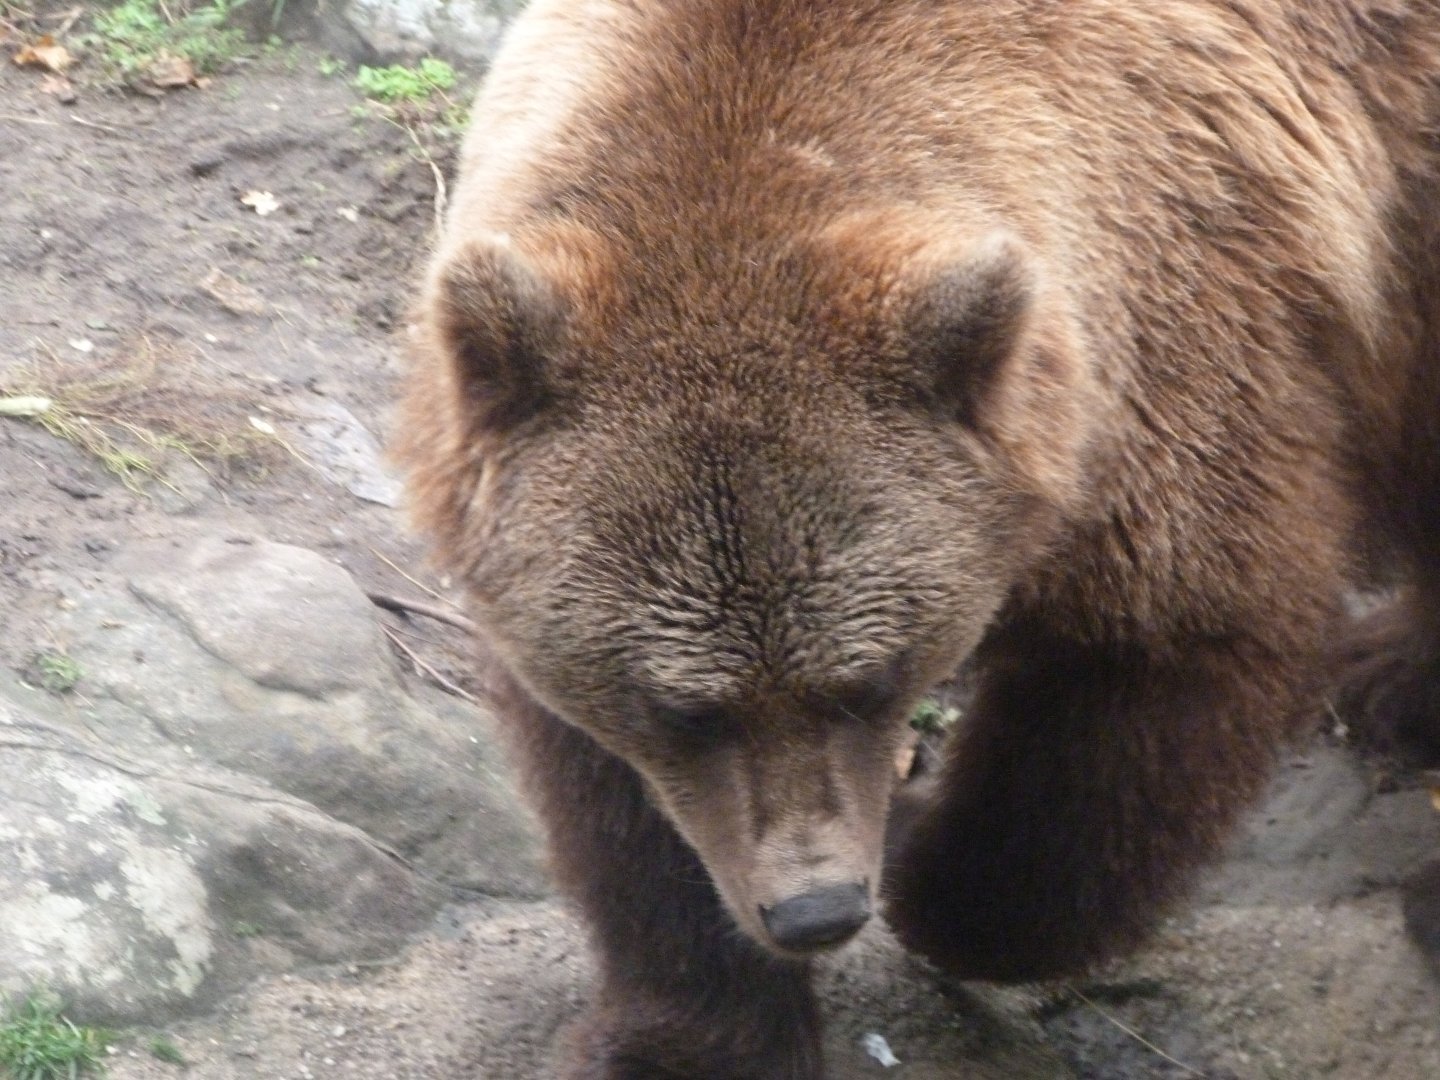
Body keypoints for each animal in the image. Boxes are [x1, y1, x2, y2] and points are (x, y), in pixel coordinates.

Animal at [394, 1, 1440, 1076]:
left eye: (870, 680)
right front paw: (686, 1034)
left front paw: (936, 873)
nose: (815, 909)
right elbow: (617, 794)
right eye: (685, 707)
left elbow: (1156, 660)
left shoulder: (1184, 333)